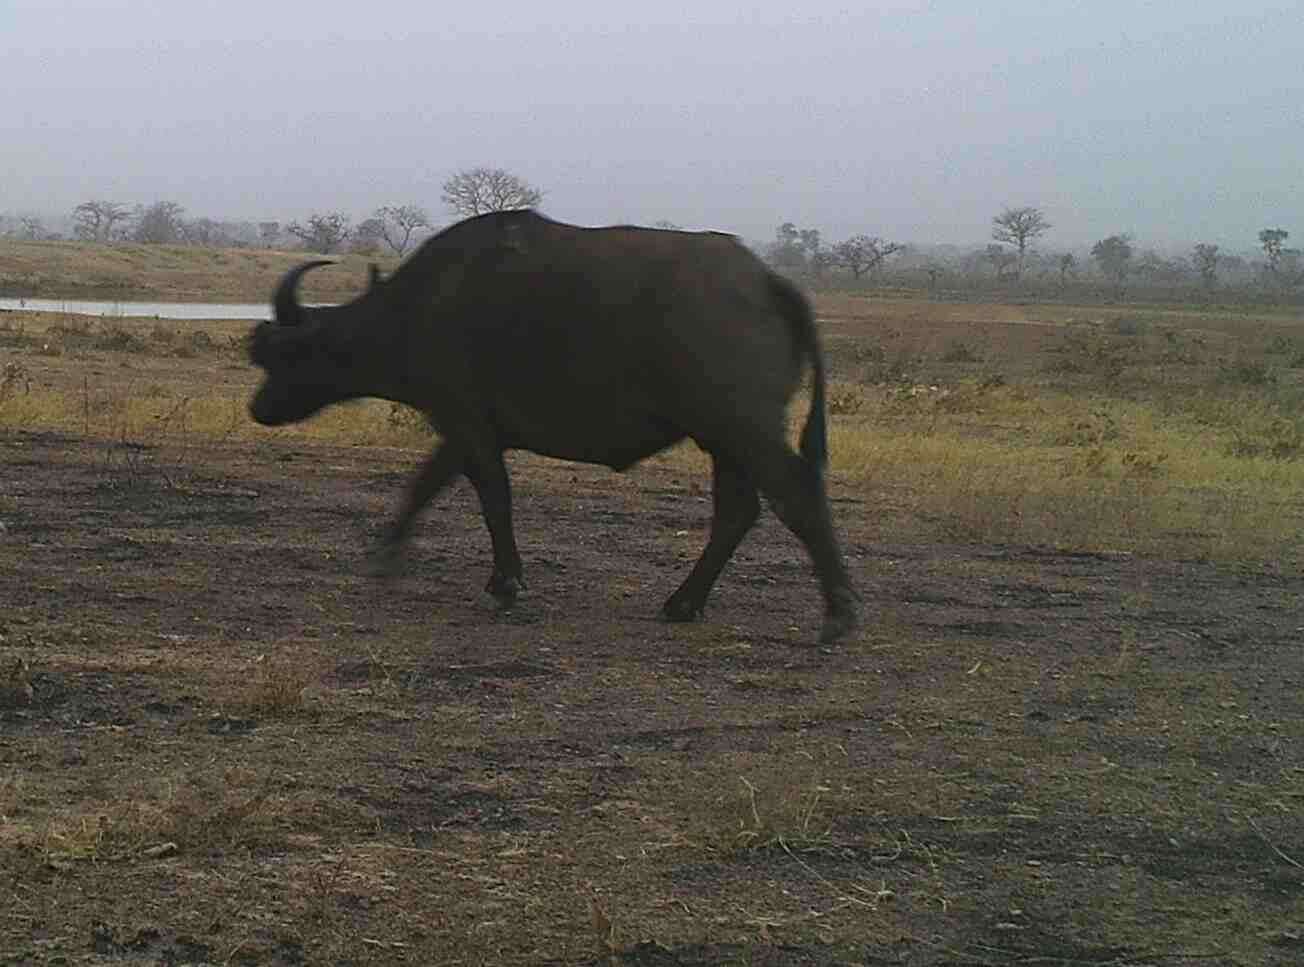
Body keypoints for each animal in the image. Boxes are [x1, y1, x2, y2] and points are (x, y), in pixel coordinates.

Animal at [249, 209, 860, 643]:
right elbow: (425, 486)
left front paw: (505, 583)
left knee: (796, 493)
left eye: (287, 354)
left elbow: (493, 498)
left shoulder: (467, 423)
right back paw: (683, 603)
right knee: (737, 512)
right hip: (723, 441)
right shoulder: (462, 429)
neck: (417, 307)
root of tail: (767, 280)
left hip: (743, 429)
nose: (259, 408)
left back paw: (838, 613)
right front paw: (386, 552)